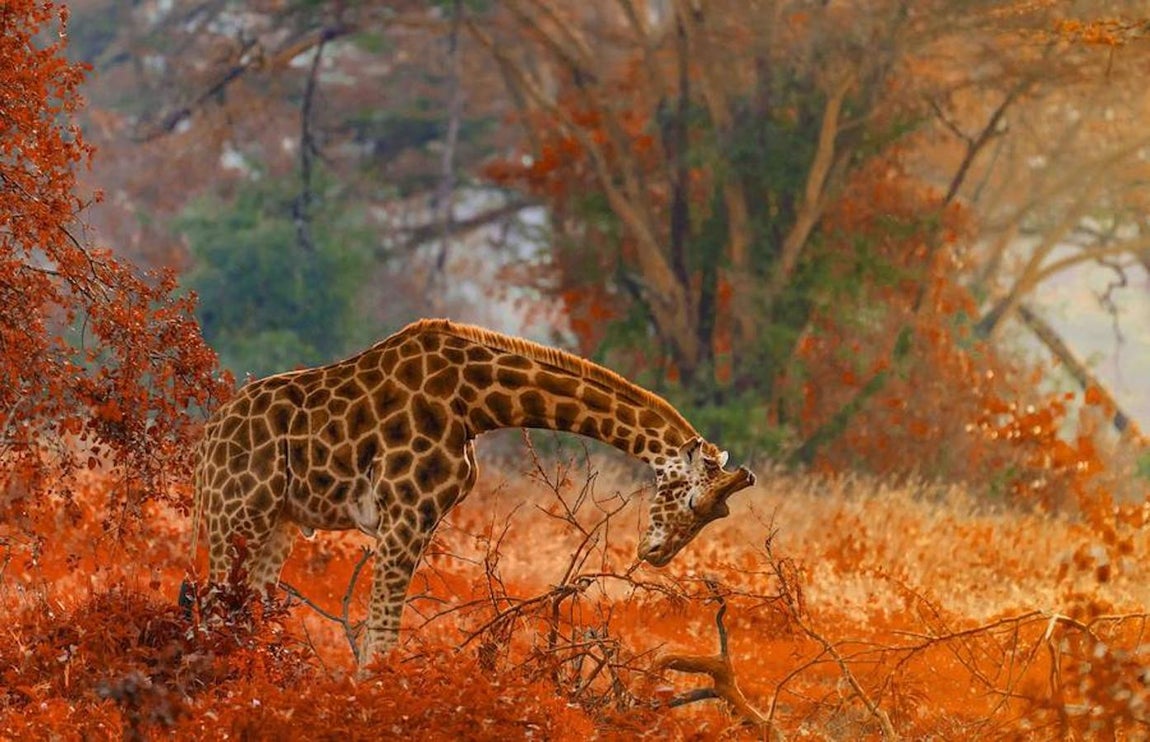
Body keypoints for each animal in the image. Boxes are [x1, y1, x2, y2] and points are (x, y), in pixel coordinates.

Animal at [191, 318, 755, 666]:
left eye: (713, 517)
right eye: (692, 501)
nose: (656, 553)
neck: (476, 403)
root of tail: (209, 437)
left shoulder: (422, 519)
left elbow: (383, 633)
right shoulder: (404, 513)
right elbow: (382, 638)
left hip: (279, 522)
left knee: (243, 609)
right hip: (236, 514)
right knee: (212, 606)